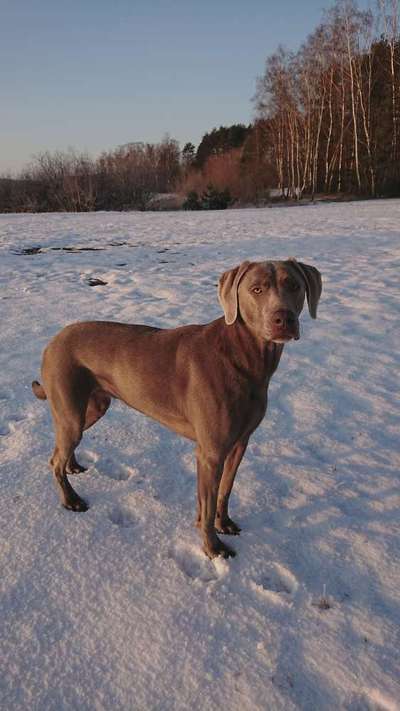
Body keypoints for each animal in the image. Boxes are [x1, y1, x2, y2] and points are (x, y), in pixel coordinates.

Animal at [32, 258, 324, 560]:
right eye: (257, 289)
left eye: (294, 285)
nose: (284, 319)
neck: (245, 359)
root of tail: (53, 340)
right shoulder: (210, 453)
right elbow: (207, 505)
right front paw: (213, 548)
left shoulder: (240, 443)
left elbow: (226, 489)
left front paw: (224, 523)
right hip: (70, 409)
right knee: (54, 458)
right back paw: (71, 499)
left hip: (92, 406)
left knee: (63, 447)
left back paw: (73, 466)